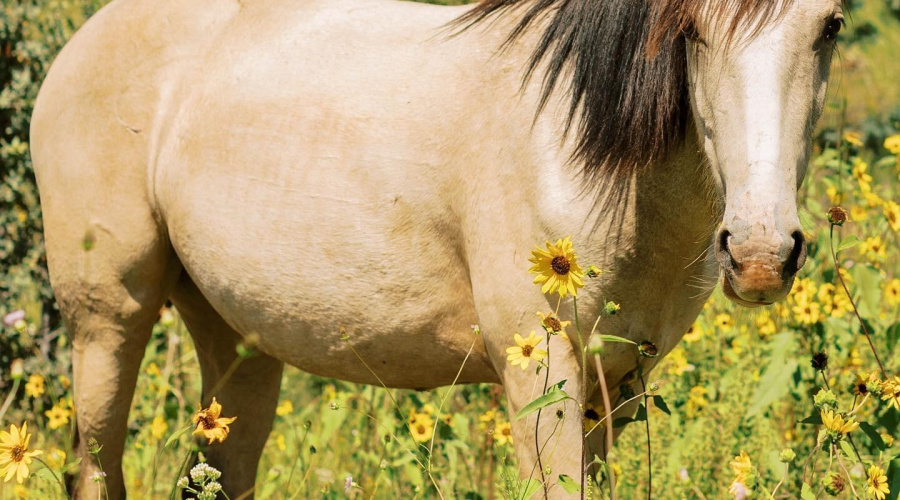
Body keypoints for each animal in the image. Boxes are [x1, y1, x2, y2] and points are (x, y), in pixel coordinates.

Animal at [29, 0, 844, 496]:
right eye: (691, 28)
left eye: (830, 25)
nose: (761, 254)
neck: (582, 150)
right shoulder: (539, 371)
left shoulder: (617, 386)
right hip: (108, 323)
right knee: (95, 466)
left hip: (238, 339)